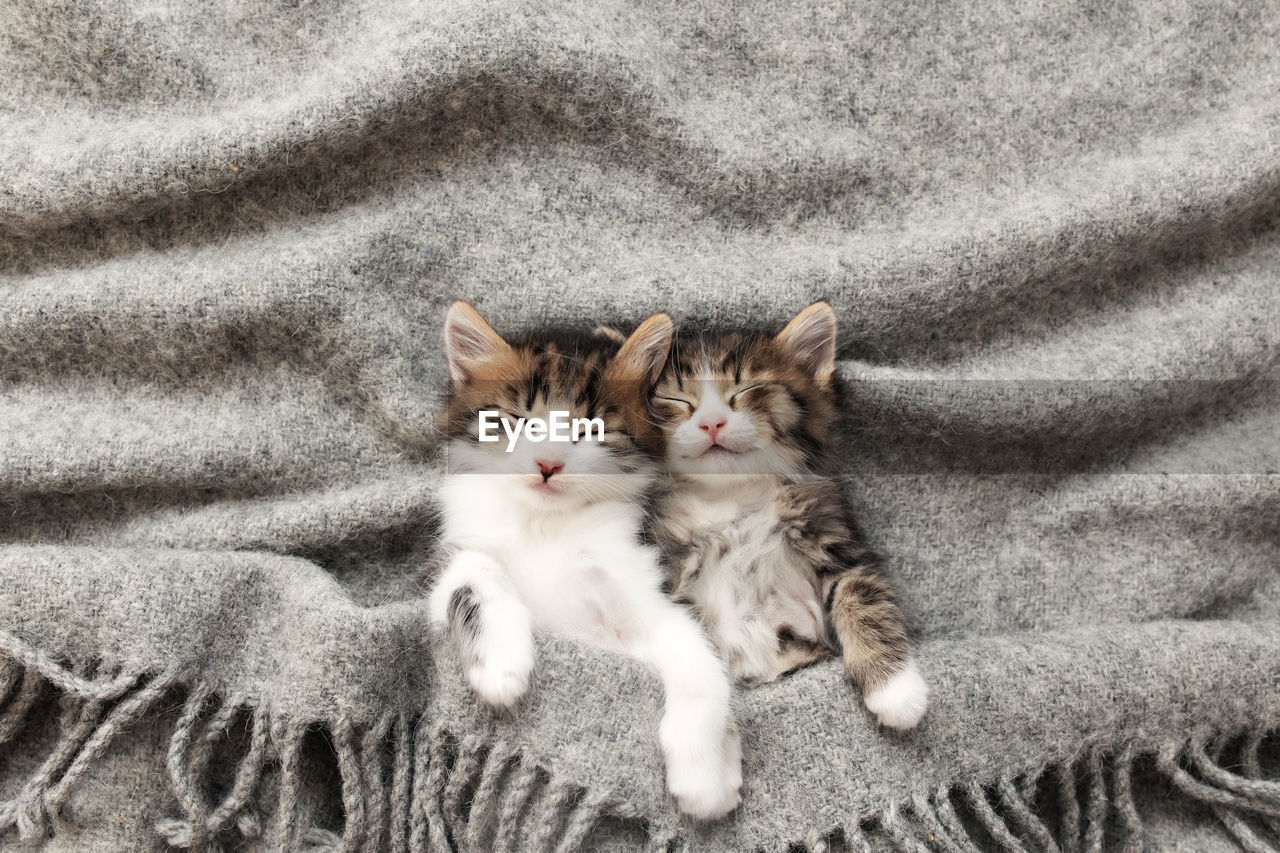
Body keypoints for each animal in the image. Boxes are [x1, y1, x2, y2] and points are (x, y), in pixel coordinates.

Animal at [427, 300, 742, 819]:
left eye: (590, 428)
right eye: (518, 420)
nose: (548, 464)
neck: (546, 524)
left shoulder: (647, 587)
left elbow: (700, 661)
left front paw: (706, 775)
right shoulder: (456, 551)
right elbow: (473, 573)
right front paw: (499, 663)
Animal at [655, 302, 926, 727]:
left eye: (746, 389)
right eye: (676, 400)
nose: (711, 422)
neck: (733, 493)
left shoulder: (836, 533)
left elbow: (864, 597)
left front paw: (896, 691)